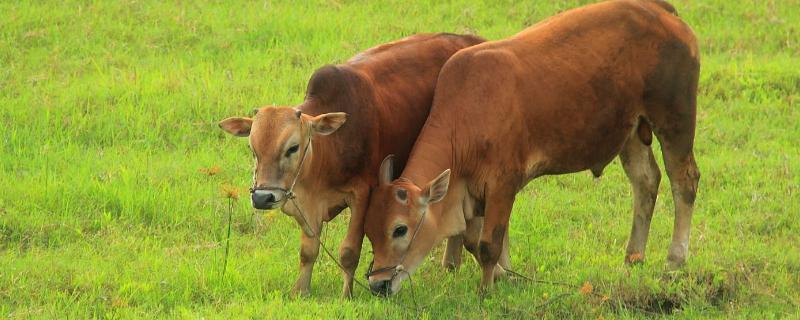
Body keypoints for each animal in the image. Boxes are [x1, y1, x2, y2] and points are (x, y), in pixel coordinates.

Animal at [216, 32, 484, 298]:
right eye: (252, 149)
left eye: (292, 148)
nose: (262, 198)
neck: (328, 150)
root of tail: (471, 39)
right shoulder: (305, 205)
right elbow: (308, 251)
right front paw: (301, 291)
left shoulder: (361, 195)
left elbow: (349, 252)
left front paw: (347, 295)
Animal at [362, 0, 700, 296]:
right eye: (369, 231)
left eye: (400, 229)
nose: (378, 284)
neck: (467, 115)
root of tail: (660, 11)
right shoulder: (471, 191)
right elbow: (474, 240)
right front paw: (506, 276)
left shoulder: (503, 183)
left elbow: (488, 244)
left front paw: (486, 289)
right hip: (630, 131)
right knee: (646, 182)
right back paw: (633, 258)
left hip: (675, 120)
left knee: (684, 182)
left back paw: (674, 261)